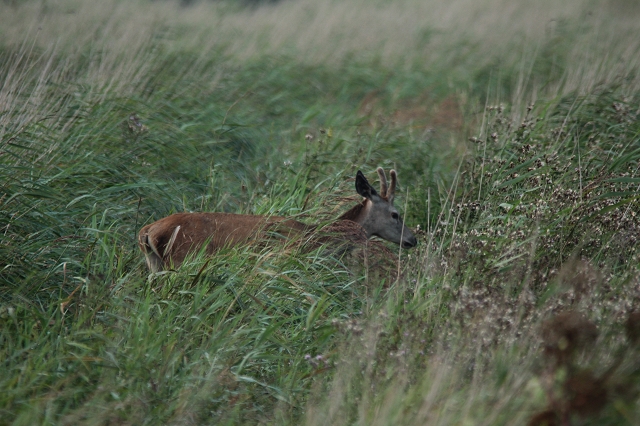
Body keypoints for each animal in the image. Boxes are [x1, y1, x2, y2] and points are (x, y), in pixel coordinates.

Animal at [138, 168, 418, 272]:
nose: (413, 239)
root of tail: (148, 231)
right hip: (182, 259)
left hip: (155, 265)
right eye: (395, 214)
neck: (317, 236)